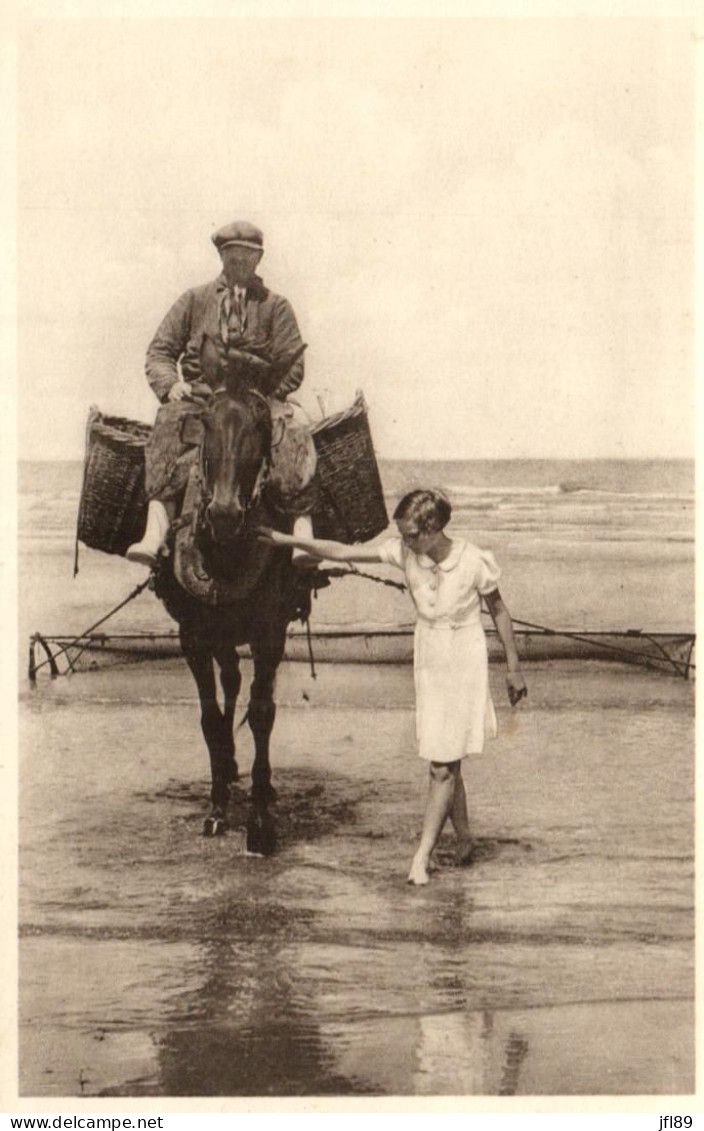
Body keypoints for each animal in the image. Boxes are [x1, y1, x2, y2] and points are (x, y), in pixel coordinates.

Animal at [156, 339, 319, 850]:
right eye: (205, 422)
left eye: (262, 424)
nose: (225, 514)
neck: (226, 550)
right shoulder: (192, 635)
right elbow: (209, 717)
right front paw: (216, 809)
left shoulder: (270, 631)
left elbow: (263, 711)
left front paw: (261, 819)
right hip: (219, 634)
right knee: (228, 681)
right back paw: (226, 768)